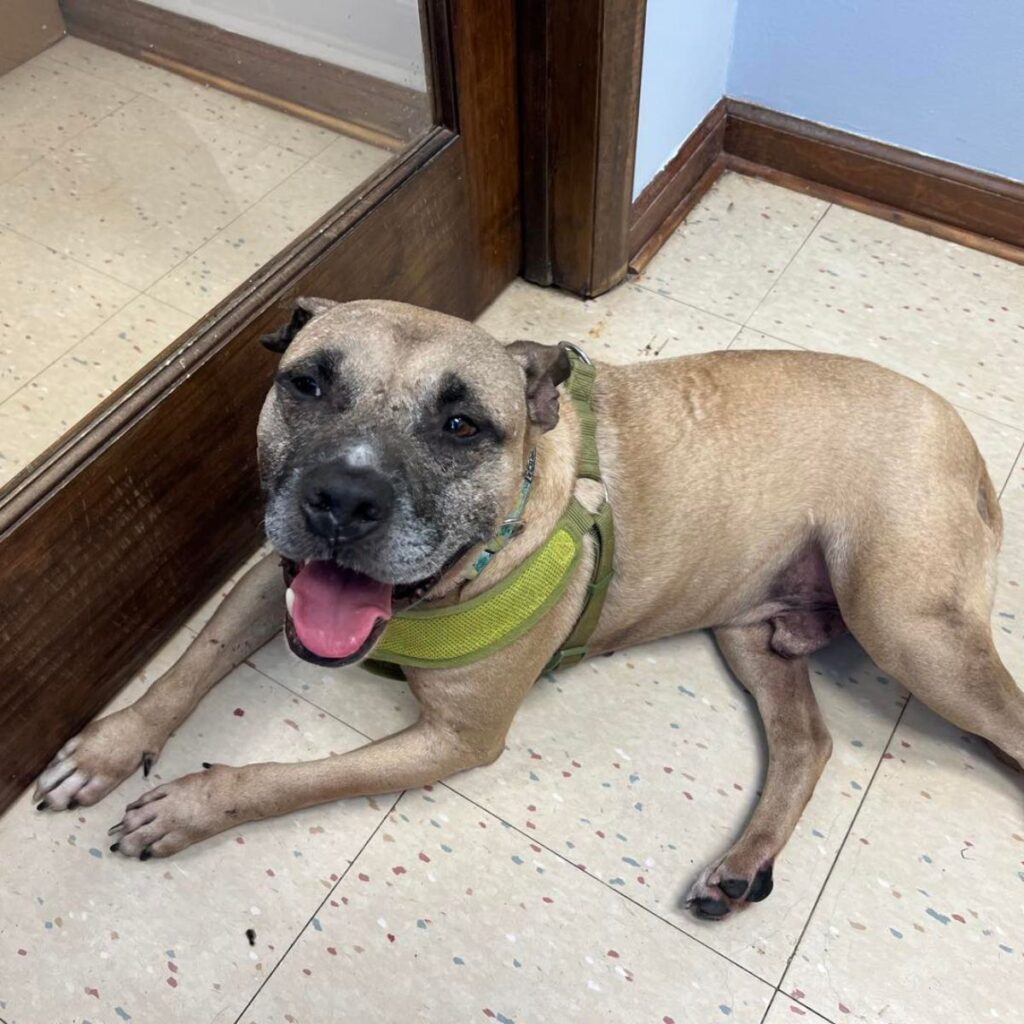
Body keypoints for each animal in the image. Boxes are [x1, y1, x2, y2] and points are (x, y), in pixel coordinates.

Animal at [34, 296, 1024, 921]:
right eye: (307, 384)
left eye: (463, 425)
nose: (342, 500)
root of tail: (959, 430)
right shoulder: (269, 584)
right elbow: (189, 666)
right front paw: (112, 748)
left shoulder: (457, 739)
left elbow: (289, 777)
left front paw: (190, 807)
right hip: (752, 630)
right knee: (806, 743)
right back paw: (742, 867)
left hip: (911, 629)